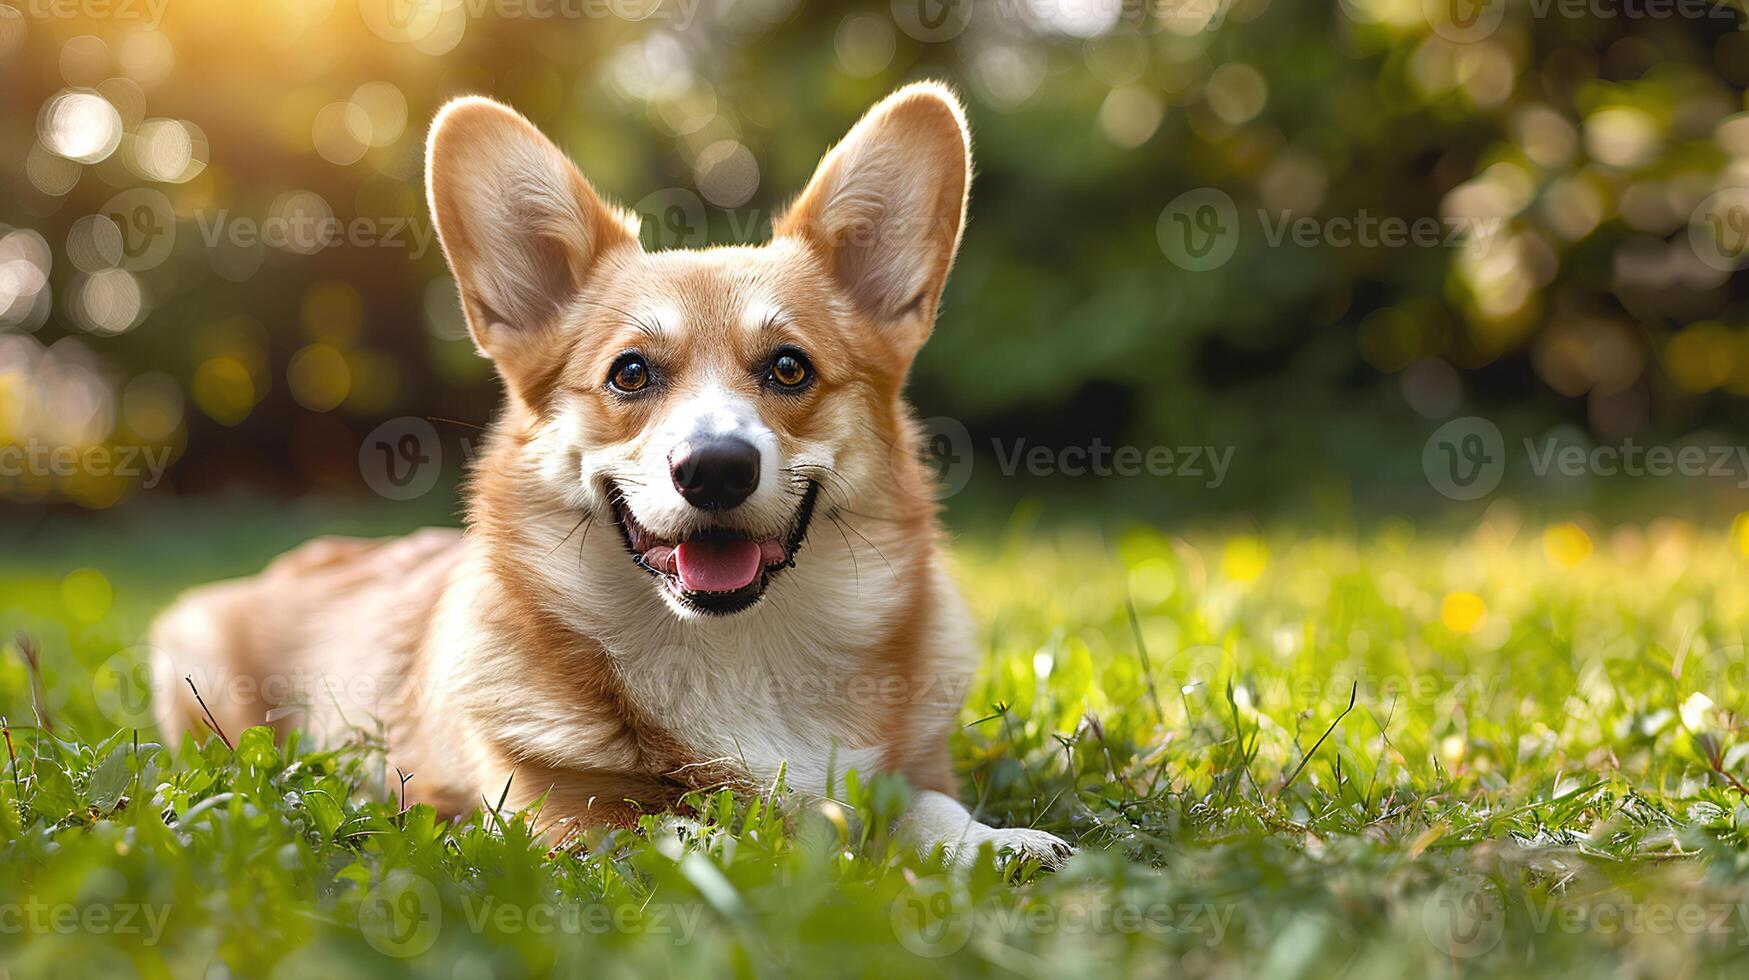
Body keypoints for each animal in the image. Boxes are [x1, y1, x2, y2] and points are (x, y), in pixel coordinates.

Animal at [150, 82, 1070, 864]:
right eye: (629, 373)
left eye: (788, 367)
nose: (714, 469)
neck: (734, 651)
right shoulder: (554, 819)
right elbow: (669, 829)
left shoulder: (914, 769)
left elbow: (925, 804)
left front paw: (995, 843)